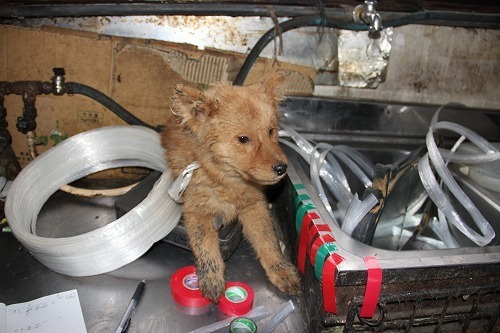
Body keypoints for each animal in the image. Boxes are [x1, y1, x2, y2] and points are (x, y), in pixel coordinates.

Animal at [162, 72, 298, 300]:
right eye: (243, 139)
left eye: (271, 131)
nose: (282, 168)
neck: (229, 181)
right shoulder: (197, 211)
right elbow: (205, 245)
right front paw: (211, 277)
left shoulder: (254, 206)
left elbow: (267, 240)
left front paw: (280, 270)